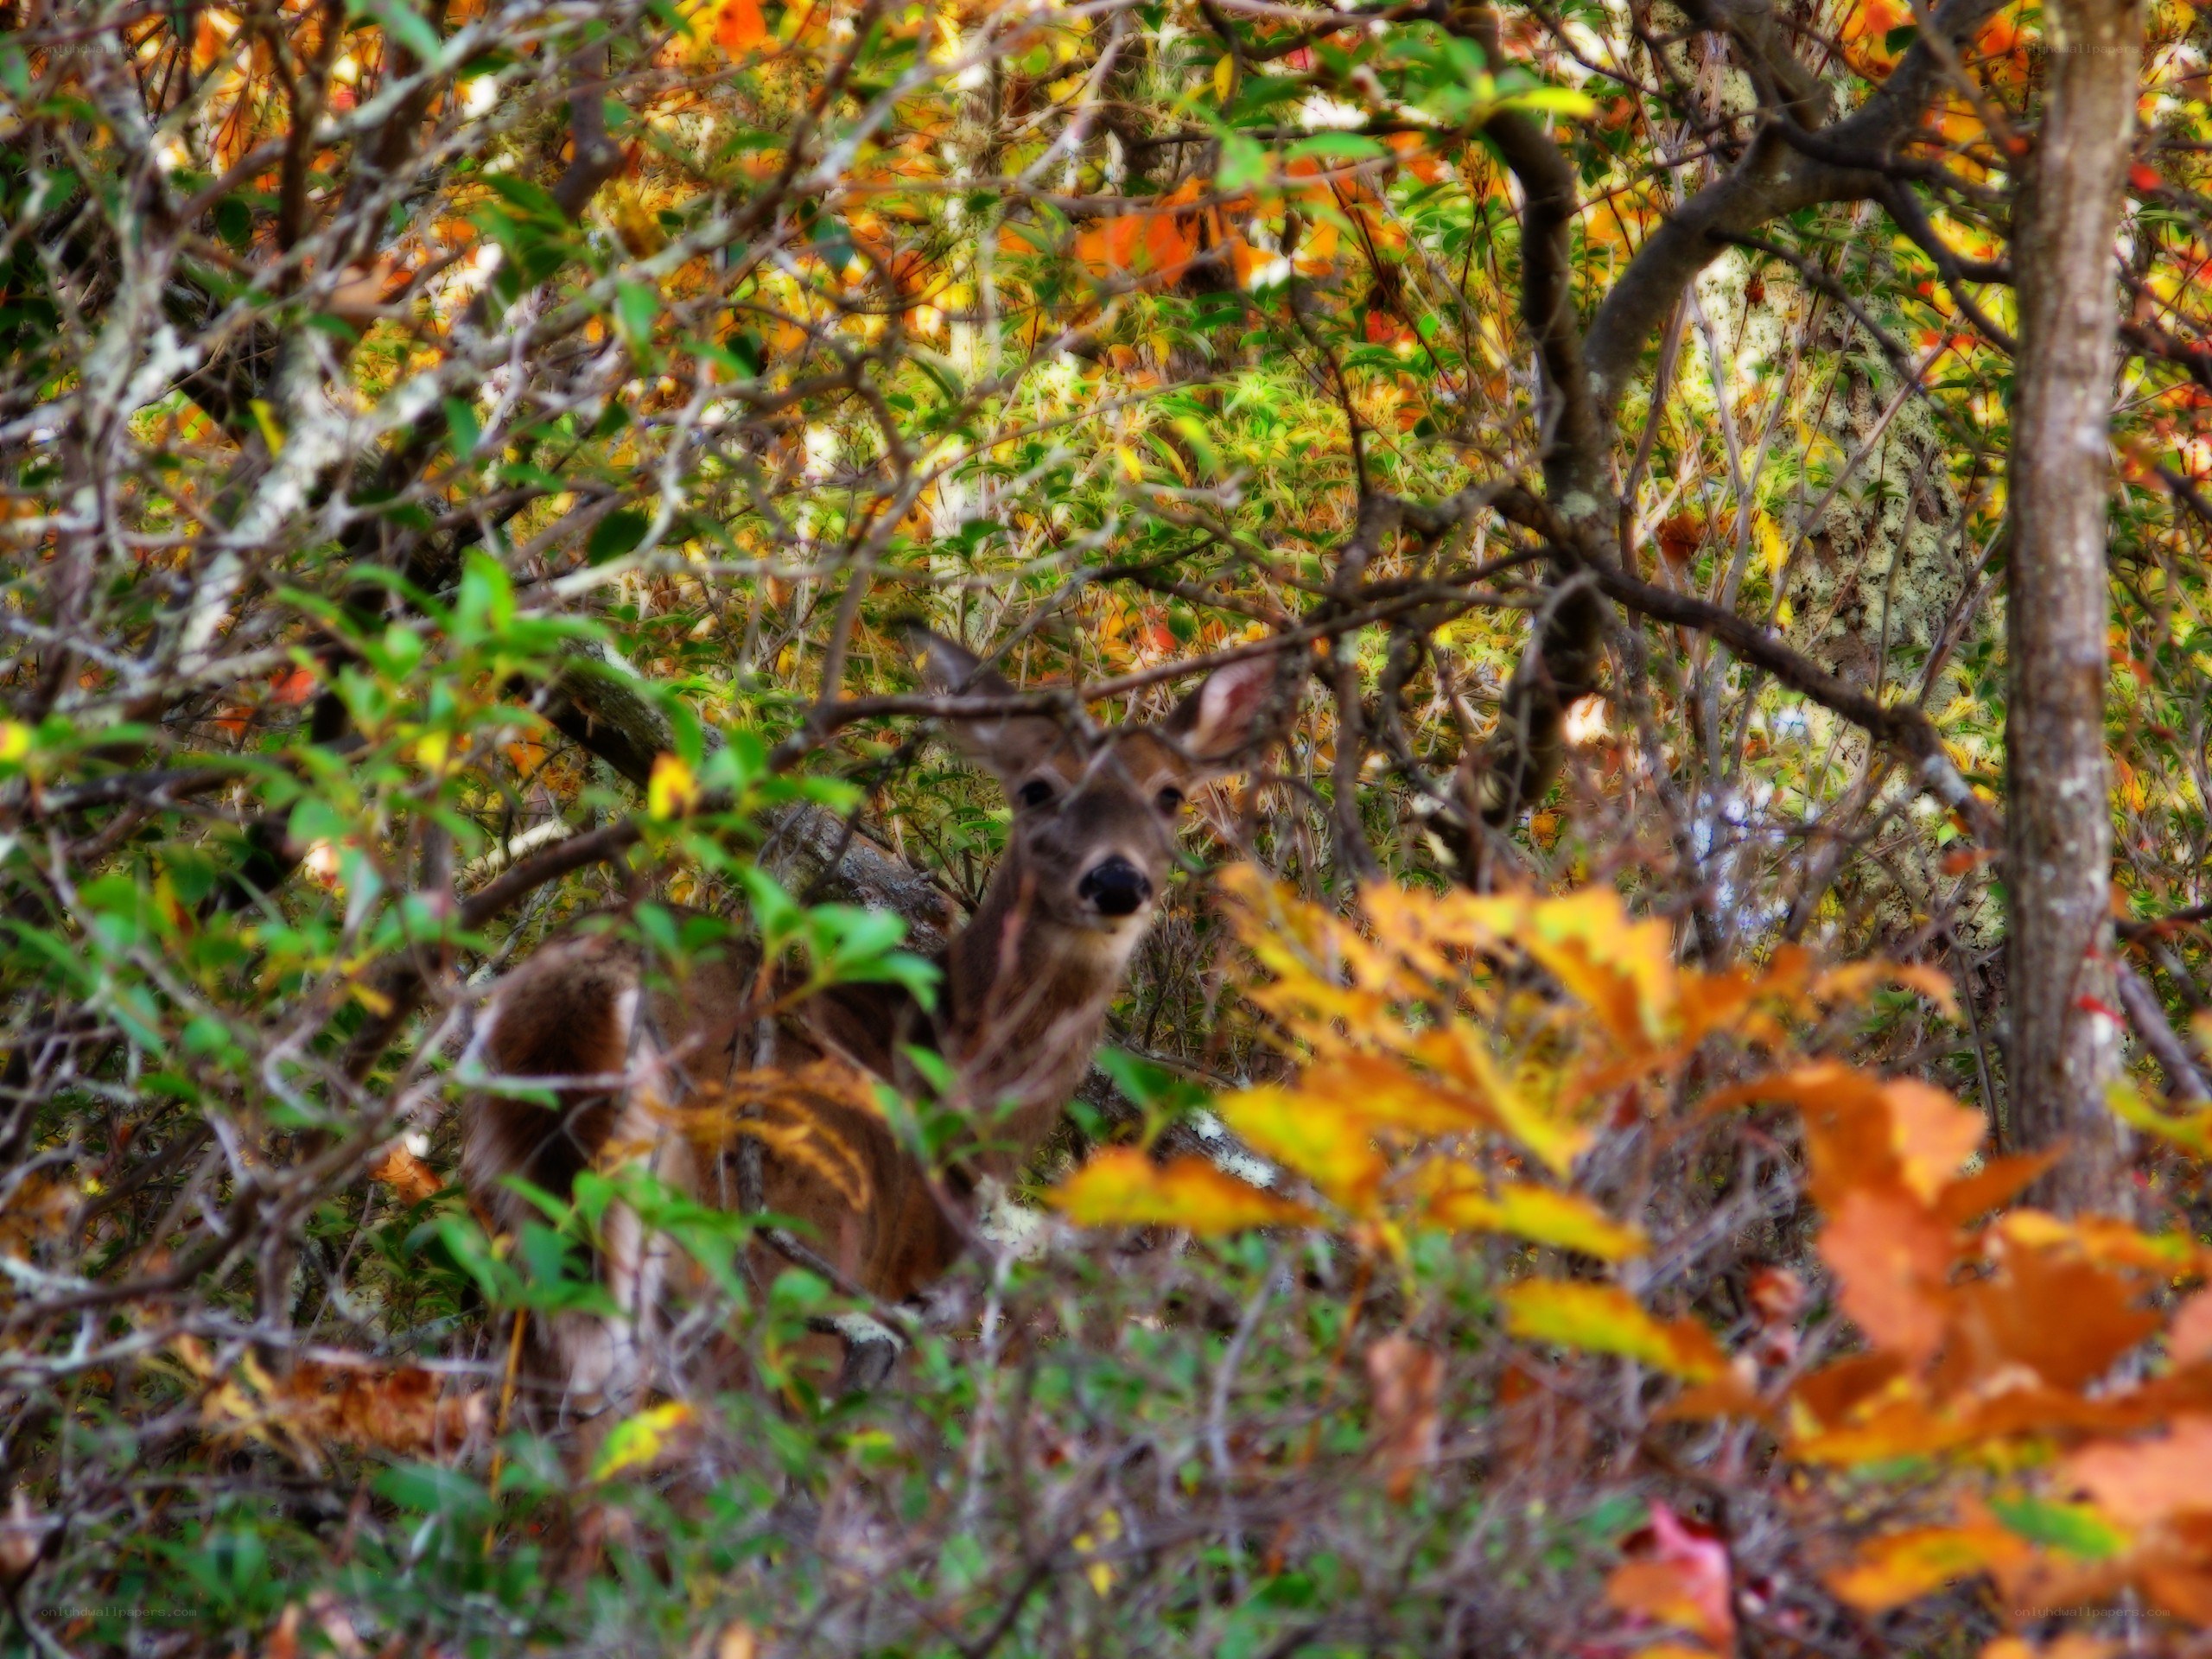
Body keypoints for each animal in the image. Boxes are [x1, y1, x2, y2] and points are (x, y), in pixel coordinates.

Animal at [461, 627, 1275, 1409]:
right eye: (1038, 787)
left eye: (1169, 795)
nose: (1114, 881)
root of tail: (591, 976)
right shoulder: (900, 1280)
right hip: (778, 1243)